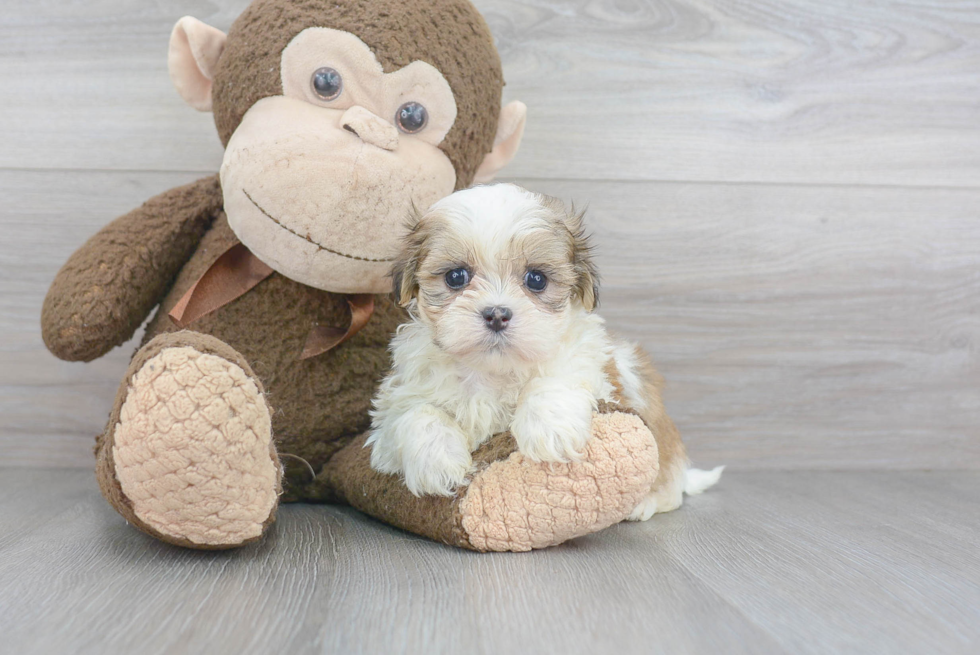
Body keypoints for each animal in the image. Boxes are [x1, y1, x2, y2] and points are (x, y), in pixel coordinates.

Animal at [368, 183, 720, 516]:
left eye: (536, 279)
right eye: (456, 276)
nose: (497, 314)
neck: (492, 371)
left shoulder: (591, 366)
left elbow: (556, 378)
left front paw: (549, 431)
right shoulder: (396, 404)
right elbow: (416, 413)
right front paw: (438, 462)